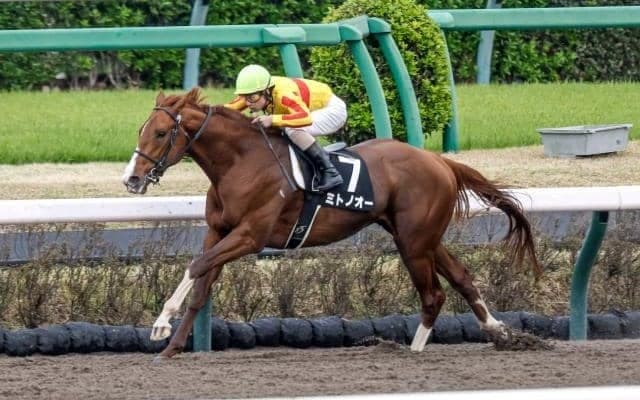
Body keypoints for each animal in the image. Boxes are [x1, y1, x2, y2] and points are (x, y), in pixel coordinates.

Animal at [122, 87, 542, 360]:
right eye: (140, 130)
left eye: (161, 132)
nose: (132, 179)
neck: (241, 162)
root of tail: (439, 160)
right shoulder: (218, 232)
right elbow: (201, 284)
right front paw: (172, 345)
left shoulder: (250, 236)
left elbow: (196, 266)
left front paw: (160, 324)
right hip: (419, 237)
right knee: (461, 278)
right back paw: (498, 331)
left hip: (413, 241)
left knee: (433, 294)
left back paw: (415, 350)